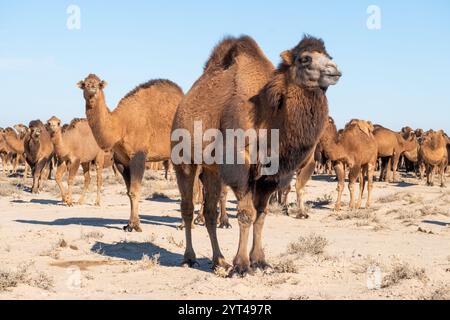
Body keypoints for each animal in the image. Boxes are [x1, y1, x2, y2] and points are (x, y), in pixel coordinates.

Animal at [78, 74, 185, 231]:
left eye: (99, 84)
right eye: (85, 84)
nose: (92, 86)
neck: (121, 125)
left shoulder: (138, 155)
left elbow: (135, 191)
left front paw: (135, 226)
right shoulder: (121, 161)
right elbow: (129, 192)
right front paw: (129, 224)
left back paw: (187, 224)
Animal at [172, 35, 342, 276]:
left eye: (329, 56)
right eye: (305, 59)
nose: (334, 70)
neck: (268, 120)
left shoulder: (271, 175)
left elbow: (261, 215)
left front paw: (260, 261)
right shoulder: (240, 166)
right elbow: (246, 213)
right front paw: (242, 266)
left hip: (212, 170)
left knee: (210, 211)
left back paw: (219, 261)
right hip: (185, 160)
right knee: (187, 207)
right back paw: (190, 258)